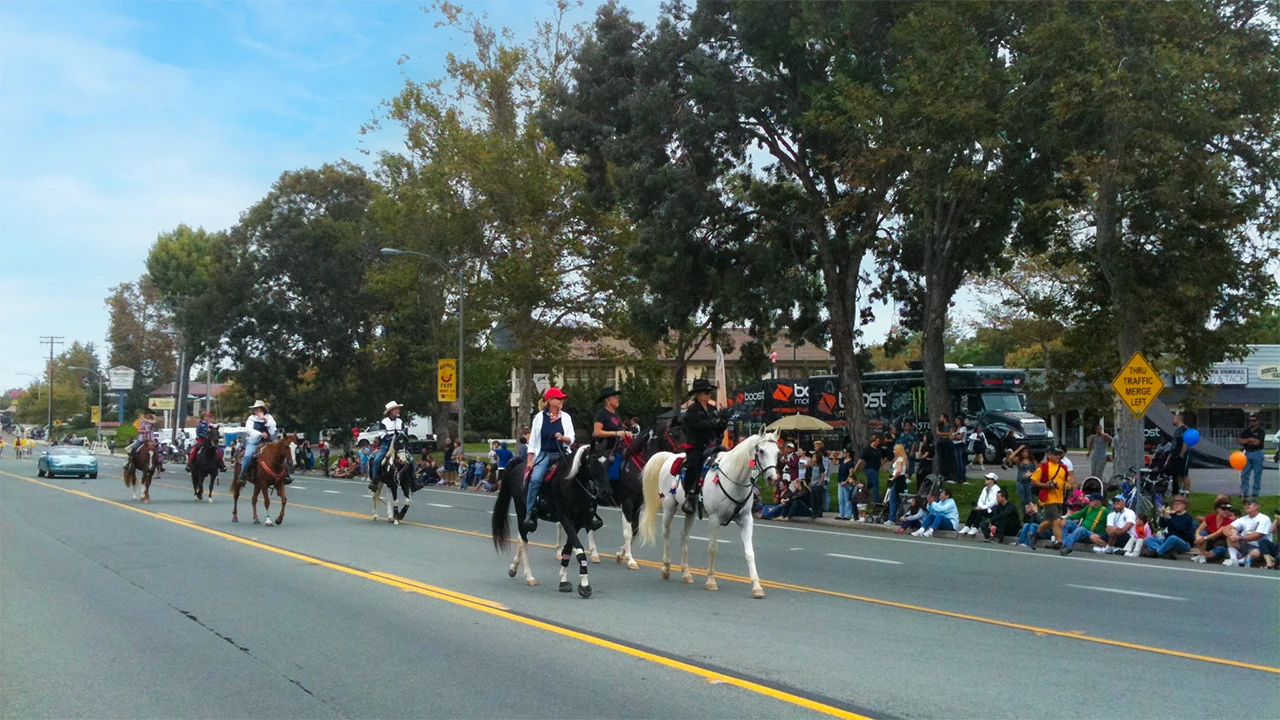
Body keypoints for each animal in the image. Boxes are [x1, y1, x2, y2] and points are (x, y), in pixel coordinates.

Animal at [491, 443, 606, 594]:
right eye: (592, 461)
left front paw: (564, 580)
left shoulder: (578, 522)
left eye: (607, 462)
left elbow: (568, 549)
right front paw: (585, 585)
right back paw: (529, 577)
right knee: (523, 541)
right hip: (521, 512)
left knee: (520, 539)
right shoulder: (565, 519)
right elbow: (579, 548)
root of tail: (519, 464)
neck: (571, 484)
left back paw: (513, 568)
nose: (604, 491)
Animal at [640, 427, 778, 597]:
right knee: (666, 533)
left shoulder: (746, 520)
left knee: (684, 537)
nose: (773, 478)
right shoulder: (714, 519)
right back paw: (666, 568)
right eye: (761, 450)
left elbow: (749, 552)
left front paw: (757, 586)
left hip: (690, 512)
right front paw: (711, 581)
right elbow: (712, 549)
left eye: (777, 452)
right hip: (669, 506)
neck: (733, 478)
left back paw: (686, 573)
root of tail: (671, 456)